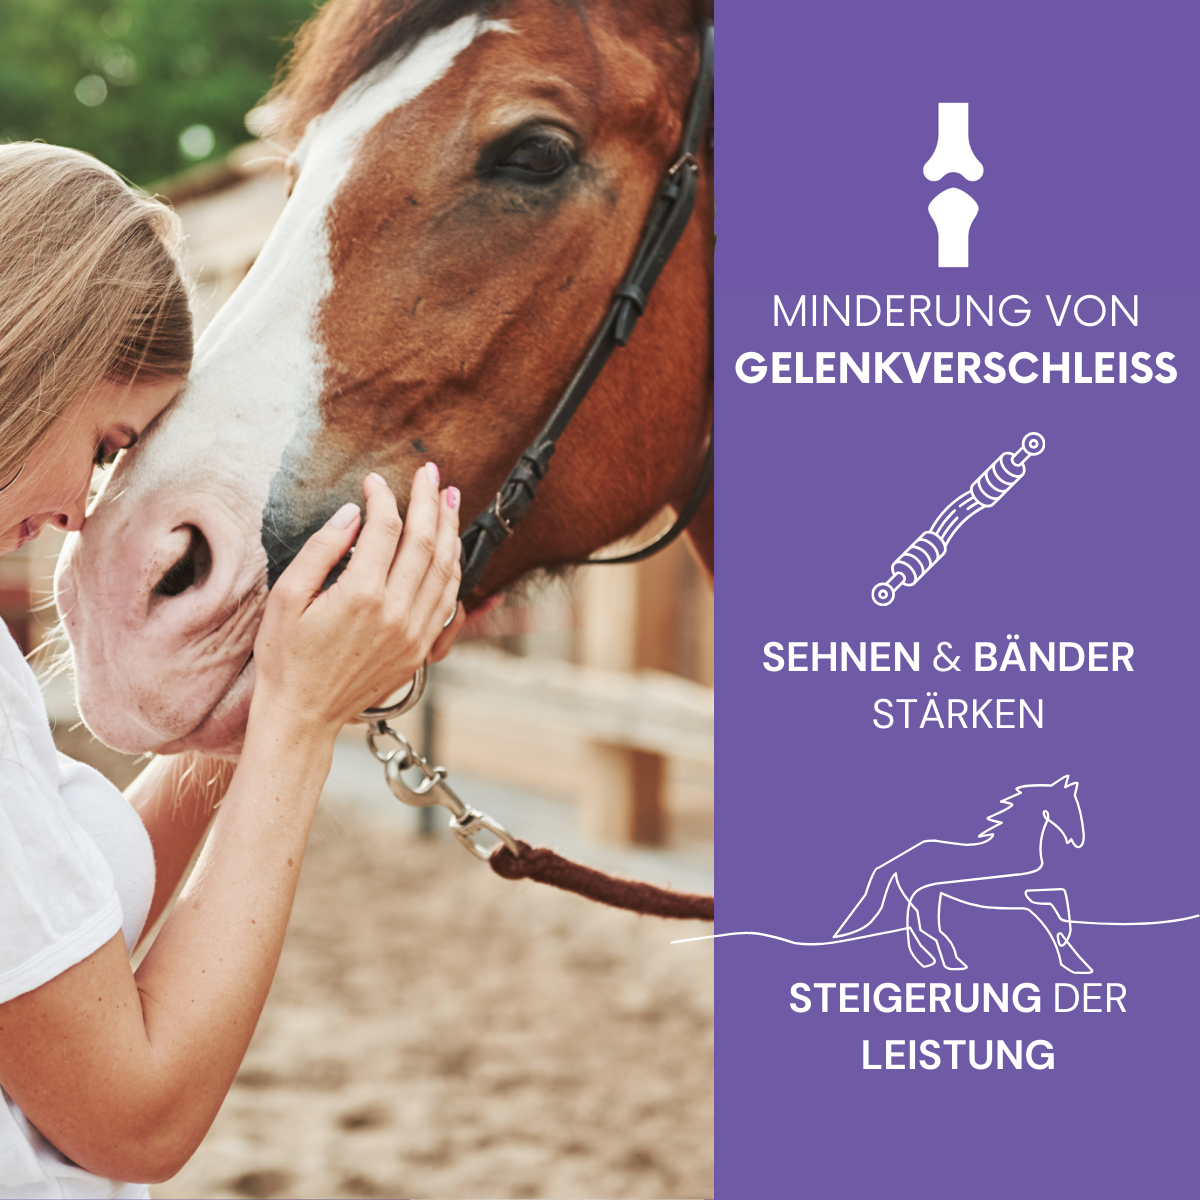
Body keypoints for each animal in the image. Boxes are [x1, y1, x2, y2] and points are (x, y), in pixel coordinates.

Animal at [833, 776, 1092, 974]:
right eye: (1068, 808)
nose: (1078, 841)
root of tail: (902, 858)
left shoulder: (1030, 890)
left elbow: (1060, 899)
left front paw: (1070, 944)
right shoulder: (1011, 897)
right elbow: (1049, 912)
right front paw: (1072, 957)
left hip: (926, 898)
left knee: (915, 926)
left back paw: (928, 960)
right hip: (926, 899)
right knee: (926, 928)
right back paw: (952, 962)